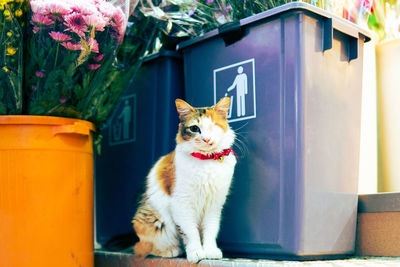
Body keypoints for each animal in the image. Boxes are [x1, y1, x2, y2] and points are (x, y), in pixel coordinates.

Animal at [133, 97, 236, 264]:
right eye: (194, 128)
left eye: (213, 126)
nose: (206, 139)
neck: (206, 161)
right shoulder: (182, 203)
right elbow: (190, 232)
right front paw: (195, 252)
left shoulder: (214, 205)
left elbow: (210, 230)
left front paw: (210, 250)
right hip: (157, 222)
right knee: (144, 248)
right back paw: (171, 251)